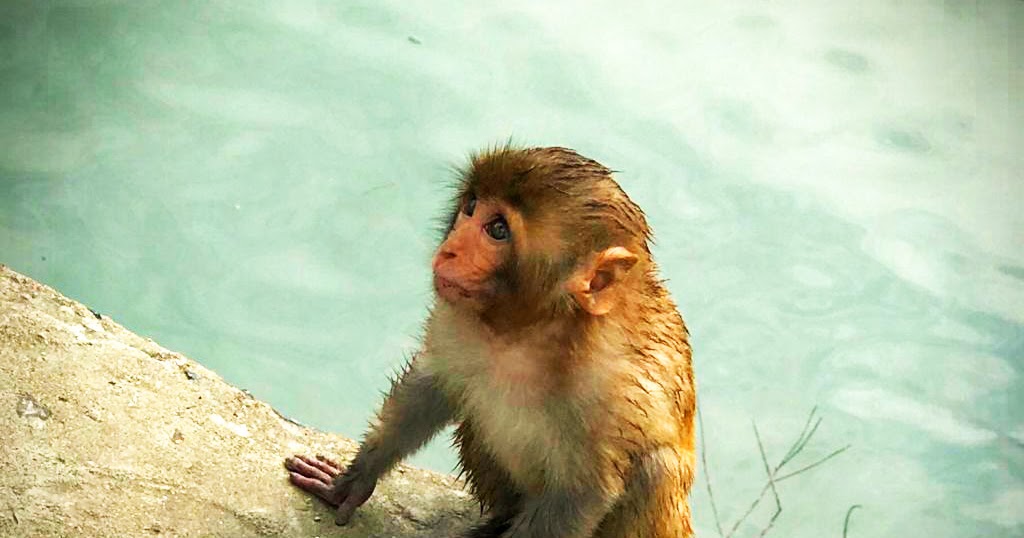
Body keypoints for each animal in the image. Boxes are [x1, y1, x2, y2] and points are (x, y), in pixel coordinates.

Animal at [285, 146, 696, 537]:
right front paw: (351, 482)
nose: (449, 250)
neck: (529, 334)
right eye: (470, 207)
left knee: (655, 468)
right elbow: (432, 385)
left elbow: (578, 497)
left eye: (497, 229)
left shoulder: (610, 397)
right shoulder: (457, 319)